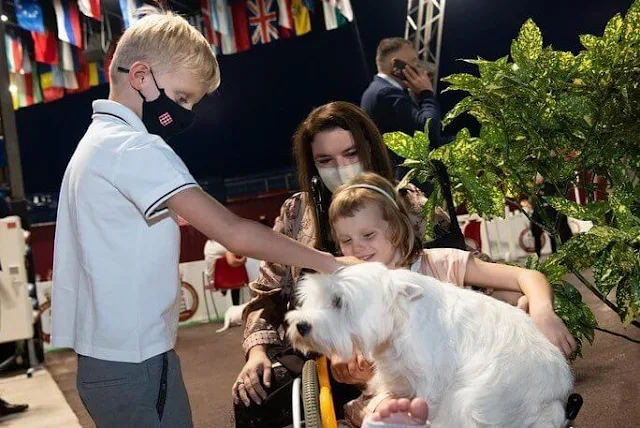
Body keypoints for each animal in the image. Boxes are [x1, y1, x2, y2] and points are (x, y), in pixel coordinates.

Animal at [288, 262, 572, 426]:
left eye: (338, 301)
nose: (301, 325)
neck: (399, 321)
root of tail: (557, 402)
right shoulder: (396, 371)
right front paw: (381, 401)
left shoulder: (431, 379)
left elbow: (427, 401)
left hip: (472, 402)